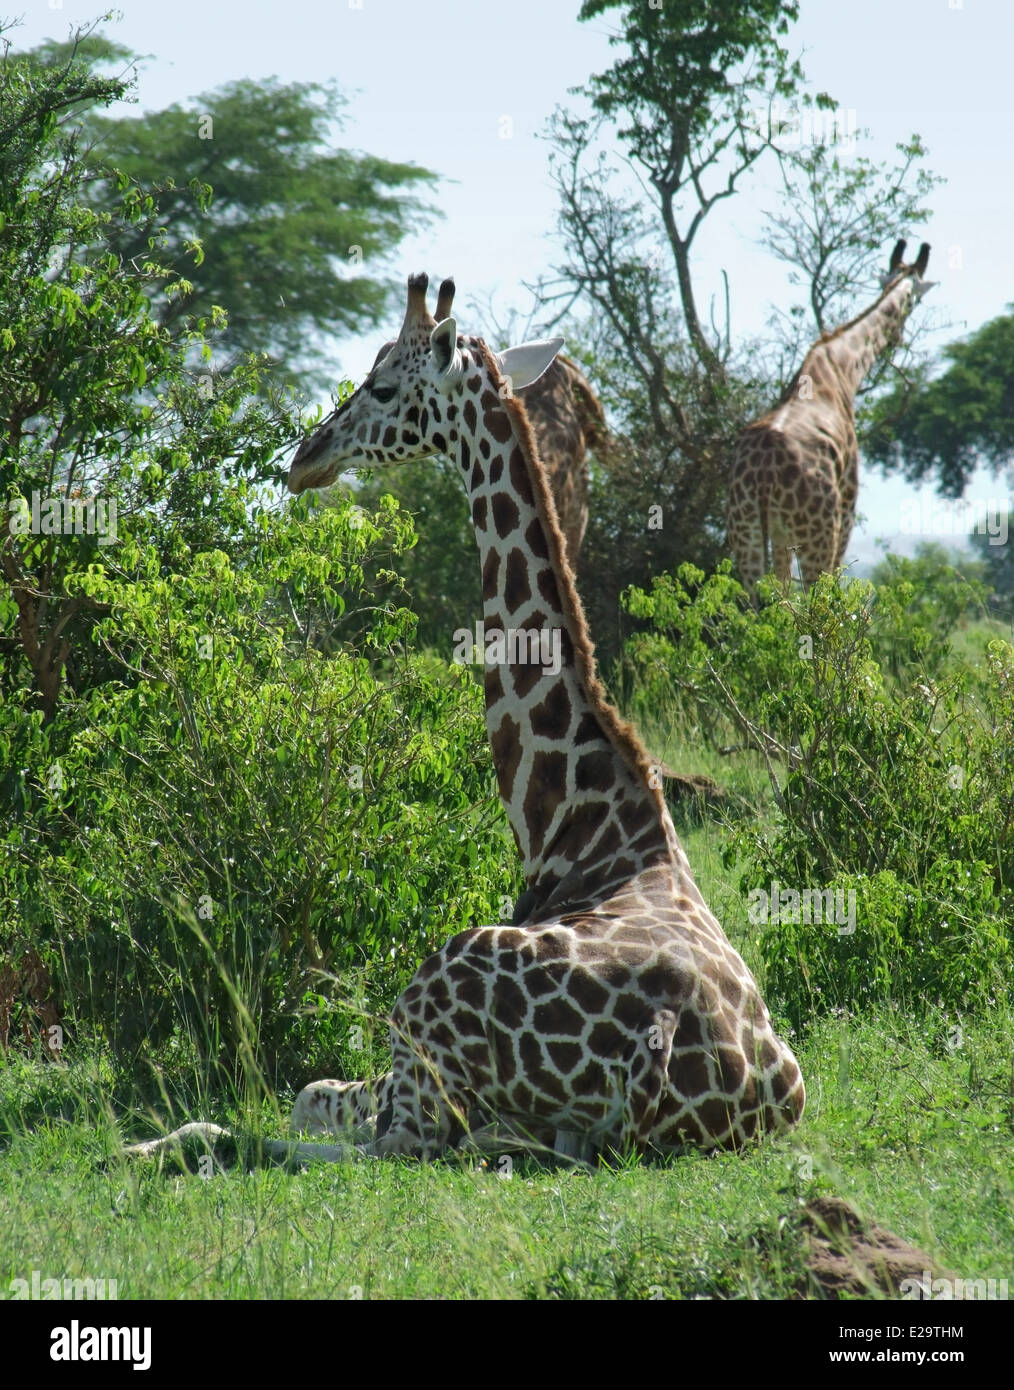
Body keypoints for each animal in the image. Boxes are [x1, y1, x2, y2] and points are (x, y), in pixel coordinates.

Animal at [728, 239, 934, 586]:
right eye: (915, 301)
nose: (898, 338)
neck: (842, 369)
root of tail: (764, 476)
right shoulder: (848, 509)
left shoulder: (781, 538)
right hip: (819, 535)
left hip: (747, 532)